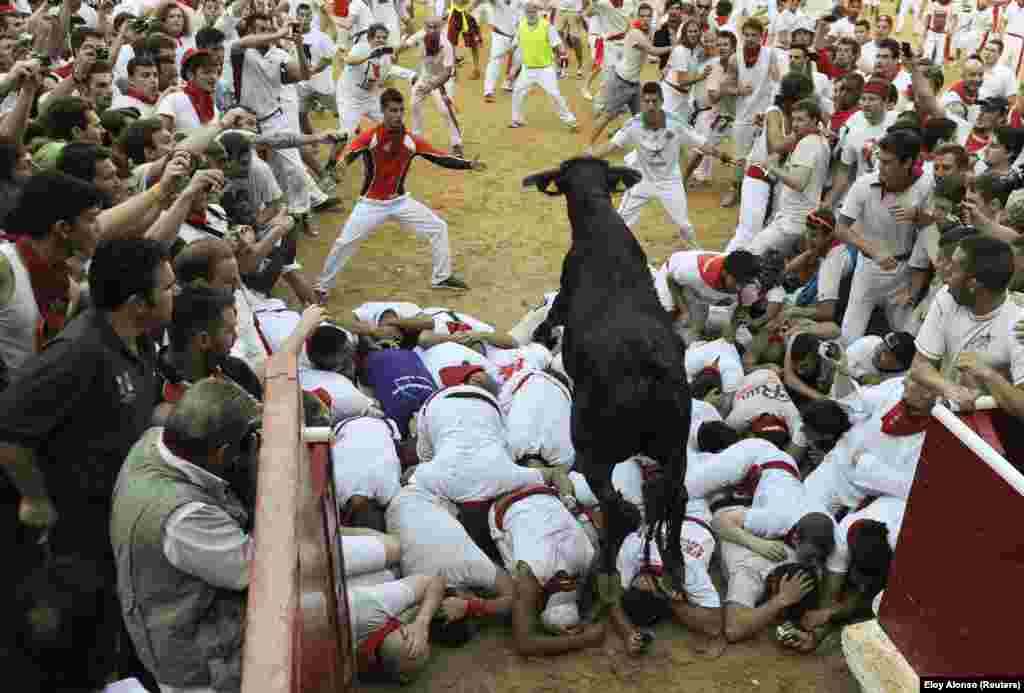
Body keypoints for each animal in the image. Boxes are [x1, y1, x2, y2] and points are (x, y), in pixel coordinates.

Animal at [524, 159, 692, 593]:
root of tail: (649, 374)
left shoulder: (564, 296)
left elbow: (553, 313)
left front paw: (539, 334)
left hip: (592, 452)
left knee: (621, 511)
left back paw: (600, 573)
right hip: (675, 450)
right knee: (675, 497)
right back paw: (674, 563)